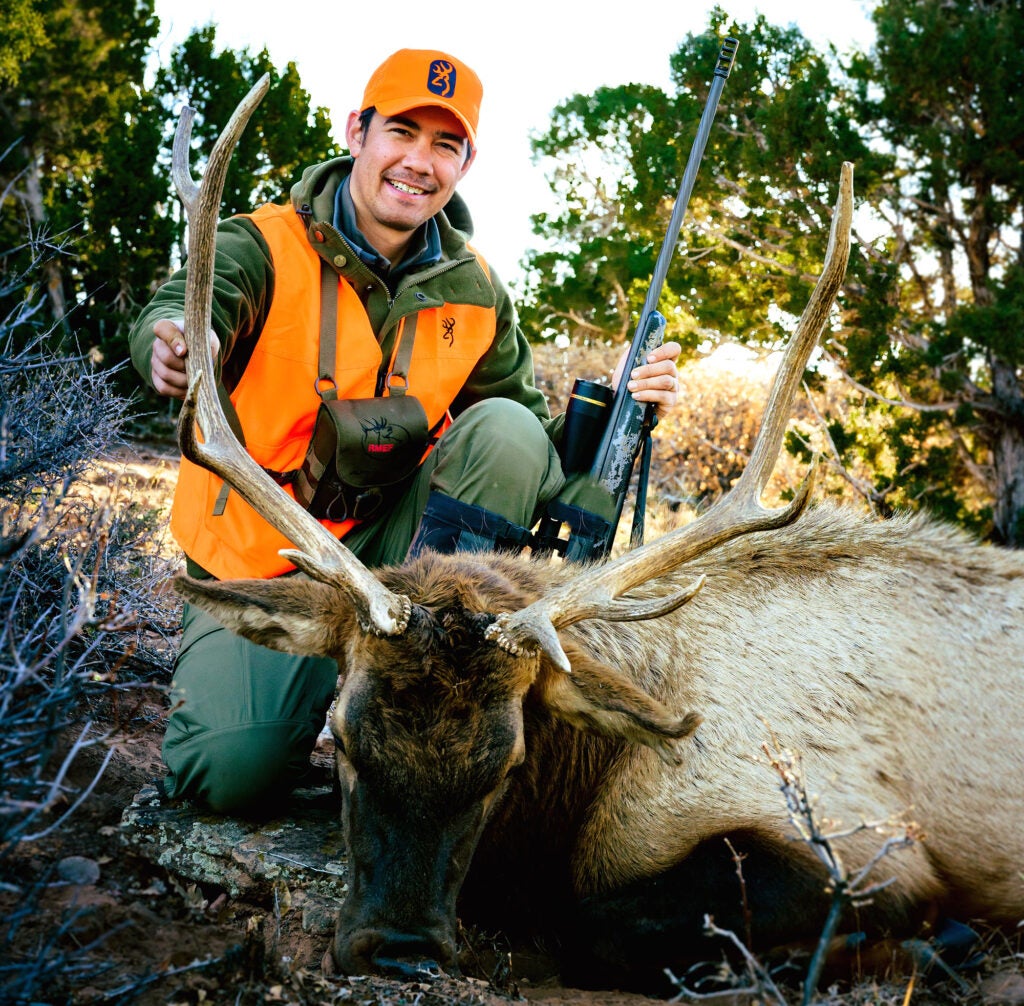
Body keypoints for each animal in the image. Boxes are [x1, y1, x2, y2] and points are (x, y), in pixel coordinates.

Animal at [167, 76, 1024, 993]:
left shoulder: (866, 838)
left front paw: (925, 943)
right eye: (343, 738)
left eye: (507, 764)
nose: (398, 949)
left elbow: (596, 925)